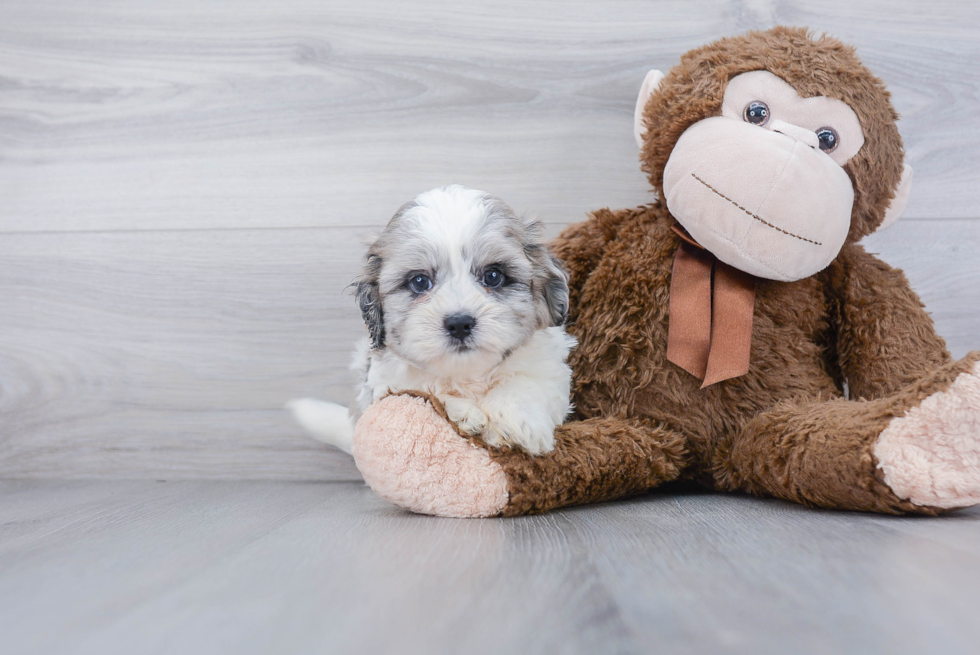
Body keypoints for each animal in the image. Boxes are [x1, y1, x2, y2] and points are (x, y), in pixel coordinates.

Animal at [288, 186, 580, 456]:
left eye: (494, 276)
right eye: (419, 282)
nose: (460, 323)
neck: (468, 374)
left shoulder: (549, 369)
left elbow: (528, 383)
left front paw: (517, 421)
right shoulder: (386, 385)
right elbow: (427, 390)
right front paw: (466, 414)